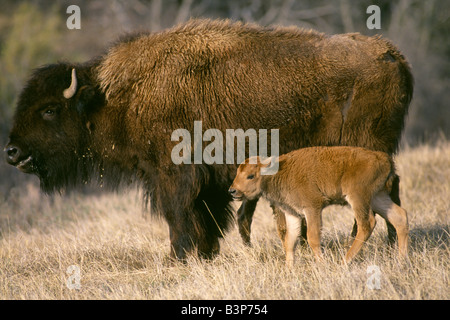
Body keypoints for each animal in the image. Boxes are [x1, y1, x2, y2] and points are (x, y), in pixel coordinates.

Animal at [230, 146, 410, 264]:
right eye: (238, 172)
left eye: (251, 175)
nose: (232, 190)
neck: (278, 172)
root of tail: (384, 158)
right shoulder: (293, 213)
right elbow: (290, 241)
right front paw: (289, 269)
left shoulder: (312, 208)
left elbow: (313, 237)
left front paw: (321, 264)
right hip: (377, 198)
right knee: (399, 217)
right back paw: (401, 260)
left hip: (358, 197)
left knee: (367, 224)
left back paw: (345, 261)